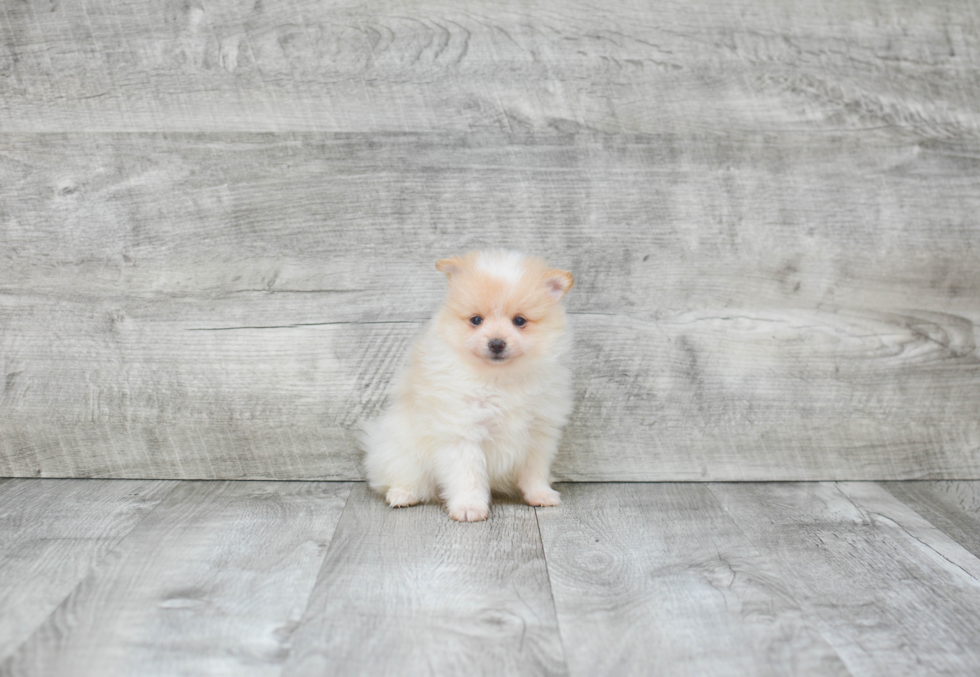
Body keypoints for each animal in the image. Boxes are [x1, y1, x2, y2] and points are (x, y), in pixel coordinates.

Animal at [360, 251, 576, 520]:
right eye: (476, 320)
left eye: (519, 321)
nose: (497, 343)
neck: (499, 378)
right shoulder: (461, 432)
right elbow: (468, 475)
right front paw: (469, 507)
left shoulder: (539, 433)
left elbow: (534, 471)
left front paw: (541, 495)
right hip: (402, 451)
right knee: (402, 476)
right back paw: (403, 495)